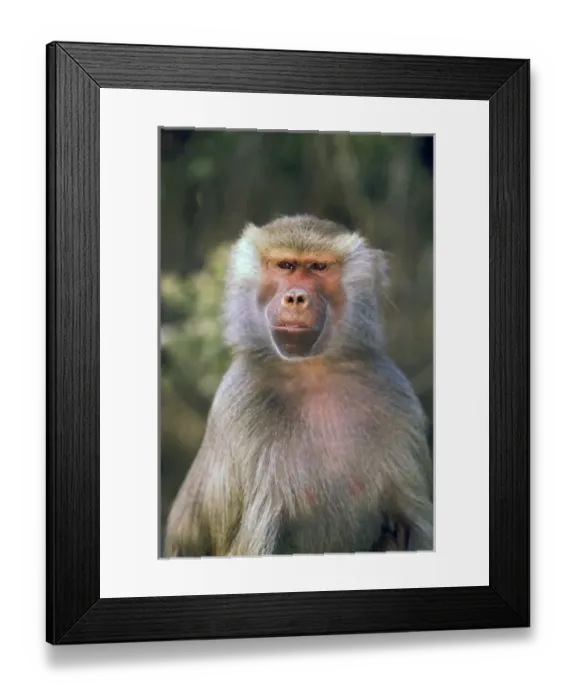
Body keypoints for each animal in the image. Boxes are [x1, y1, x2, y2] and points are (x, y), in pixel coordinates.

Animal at [164, 215, 433, 558]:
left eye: (318, 267)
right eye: (286, 265)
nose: (295, 297)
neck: (311, 370)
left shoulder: (394, 395)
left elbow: (415, 524)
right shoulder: (241, 405)